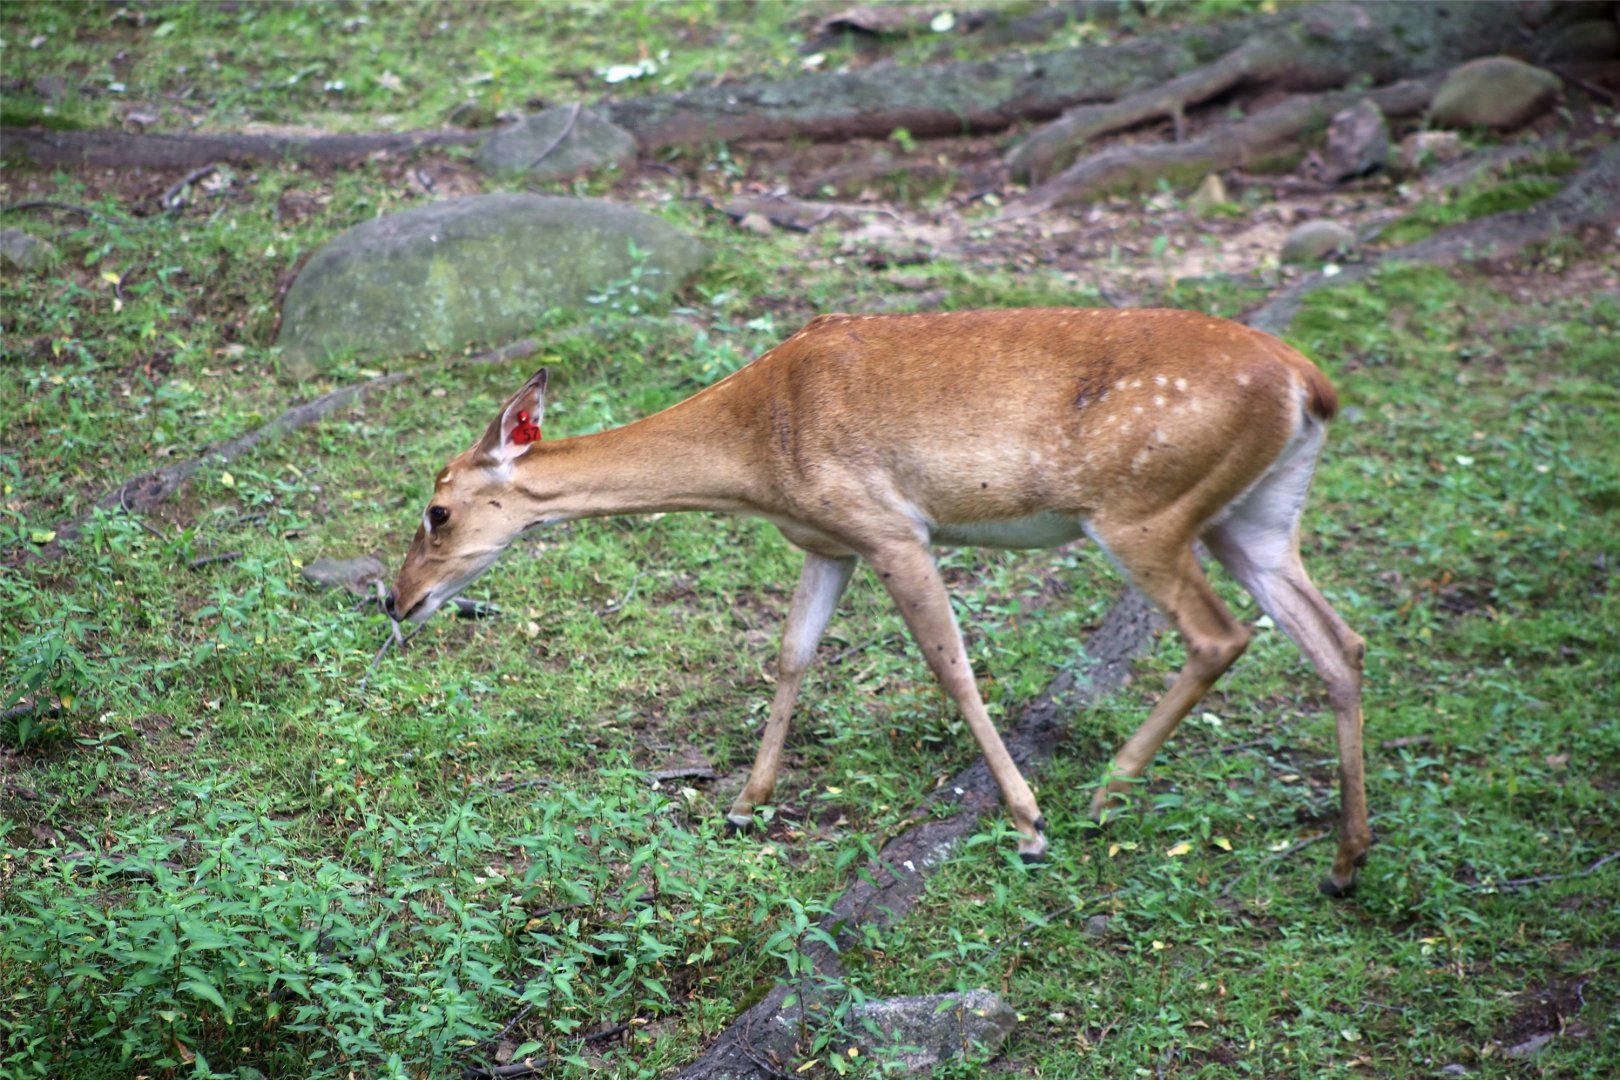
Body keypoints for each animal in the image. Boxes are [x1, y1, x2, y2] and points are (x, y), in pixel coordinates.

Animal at [387, 308, 1372, 896]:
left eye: (436, 511)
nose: (397, 601)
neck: (756, 457)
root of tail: (1309, 383)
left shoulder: (892, 528)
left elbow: (951, 665)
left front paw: (1027, 824)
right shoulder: (828, 542)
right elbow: (791, 655)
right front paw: (744, 804)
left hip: (1145, 511)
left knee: (1221, 635)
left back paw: (1103, 793)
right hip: (1256, 516)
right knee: (1339, 641)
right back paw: (1343, 862)